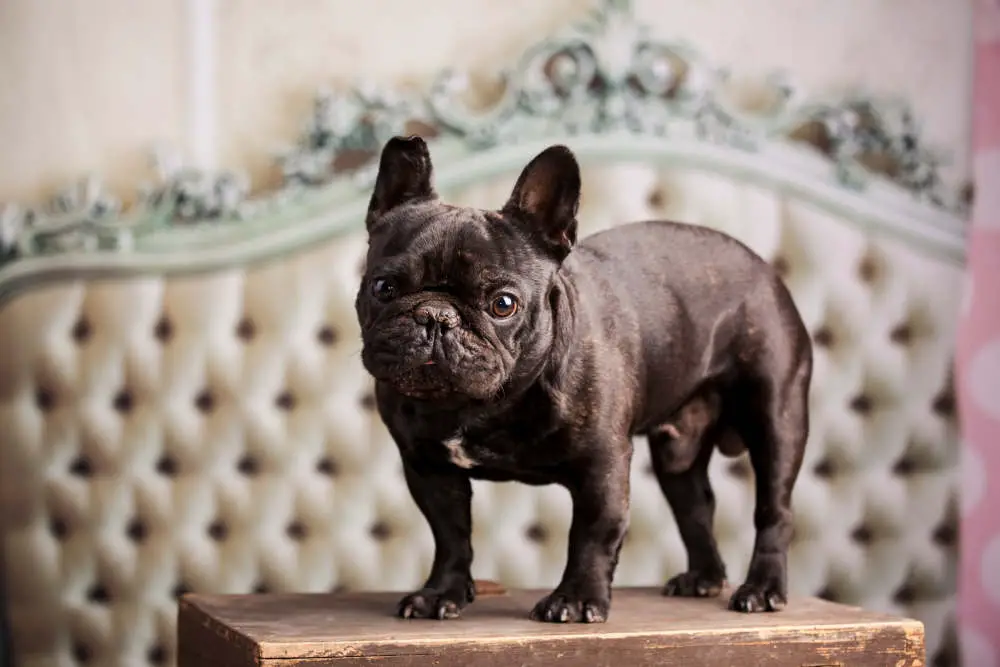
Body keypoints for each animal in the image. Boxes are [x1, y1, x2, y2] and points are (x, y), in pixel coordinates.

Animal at [356, 136, 808, 628]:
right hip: (677, 455)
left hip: (776, 420)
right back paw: (703, 578)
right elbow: (451, 535)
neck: (483, 405)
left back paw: (762, 588)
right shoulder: (430, 469)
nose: (436, 317)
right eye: (383, 287)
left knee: (775, 510)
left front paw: (574, 600)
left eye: (503, 304)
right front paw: (442, 592)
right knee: (696, 507)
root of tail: (766, 269)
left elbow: (593, 533)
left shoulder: (602, 466)